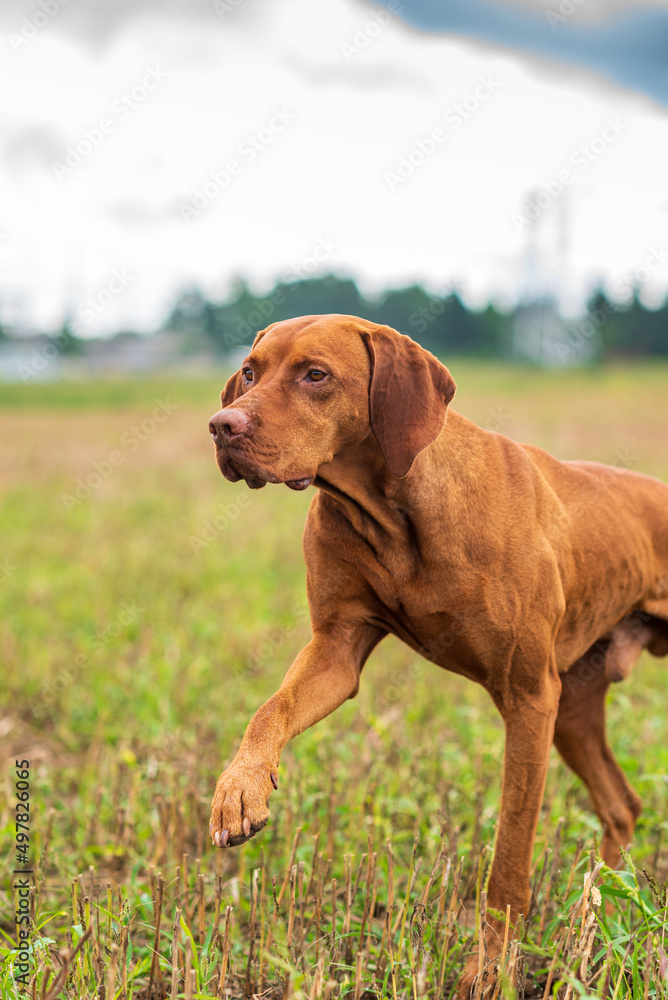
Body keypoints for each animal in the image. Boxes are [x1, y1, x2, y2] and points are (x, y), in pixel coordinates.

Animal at [207, 312, 668, 992]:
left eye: (315, 374)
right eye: (249, 371)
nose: (222, 426)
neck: (393, 505)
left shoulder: (529, 698)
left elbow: (509, 858)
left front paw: (491, 969)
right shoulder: (336, 649)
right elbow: (272, 709)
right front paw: (239, 789)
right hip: (577, 707)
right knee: (621, 804)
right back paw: (594, 924)